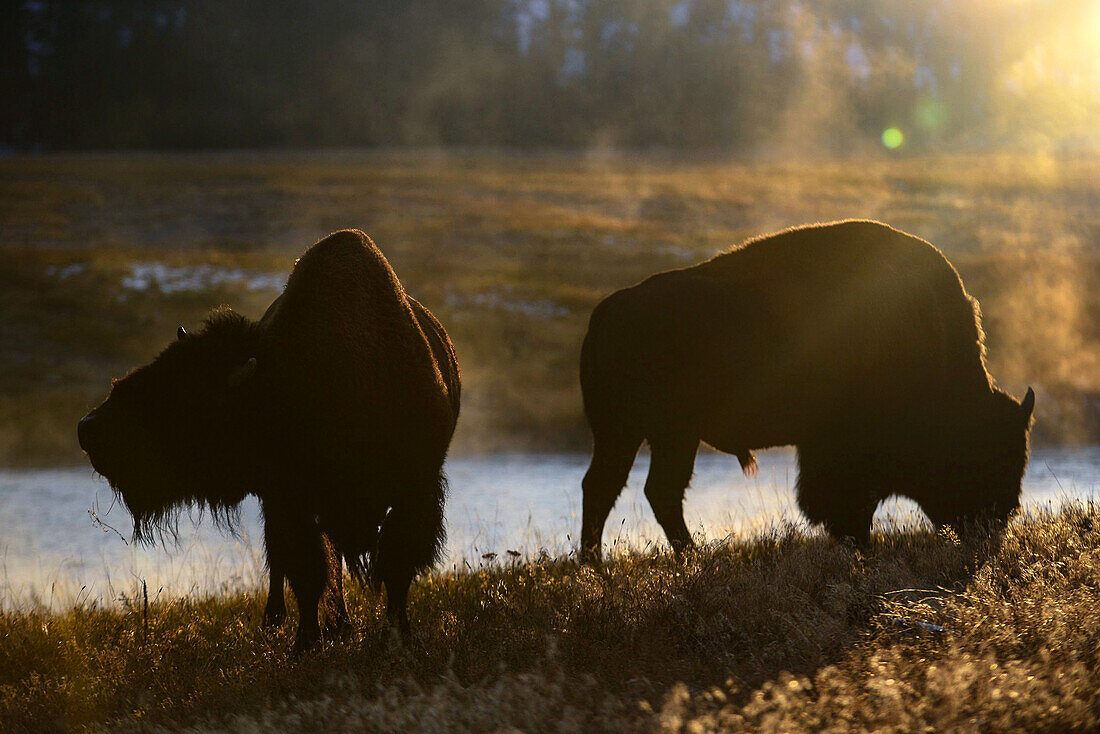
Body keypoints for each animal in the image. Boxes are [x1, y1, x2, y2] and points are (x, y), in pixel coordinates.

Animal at [78, 229, 459, 647]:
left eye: (184, 392)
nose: (87, 428)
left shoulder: (416, 492)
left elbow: (396, 568)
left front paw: (399, 635)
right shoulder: (287, 500)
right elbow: (306, 572)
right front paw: (306, 643)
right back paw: (288, 622)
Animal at [580, 217, 1034, 563]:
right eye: (988, 454)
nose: (994, 521)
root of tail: (609, 310)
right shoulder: (837, 455)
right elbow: (845, 508)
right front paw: (860, 551)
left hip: (639, 435)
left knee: (616, 488)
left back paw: (608, 567)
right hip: (658, 433)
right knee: (641, 490)